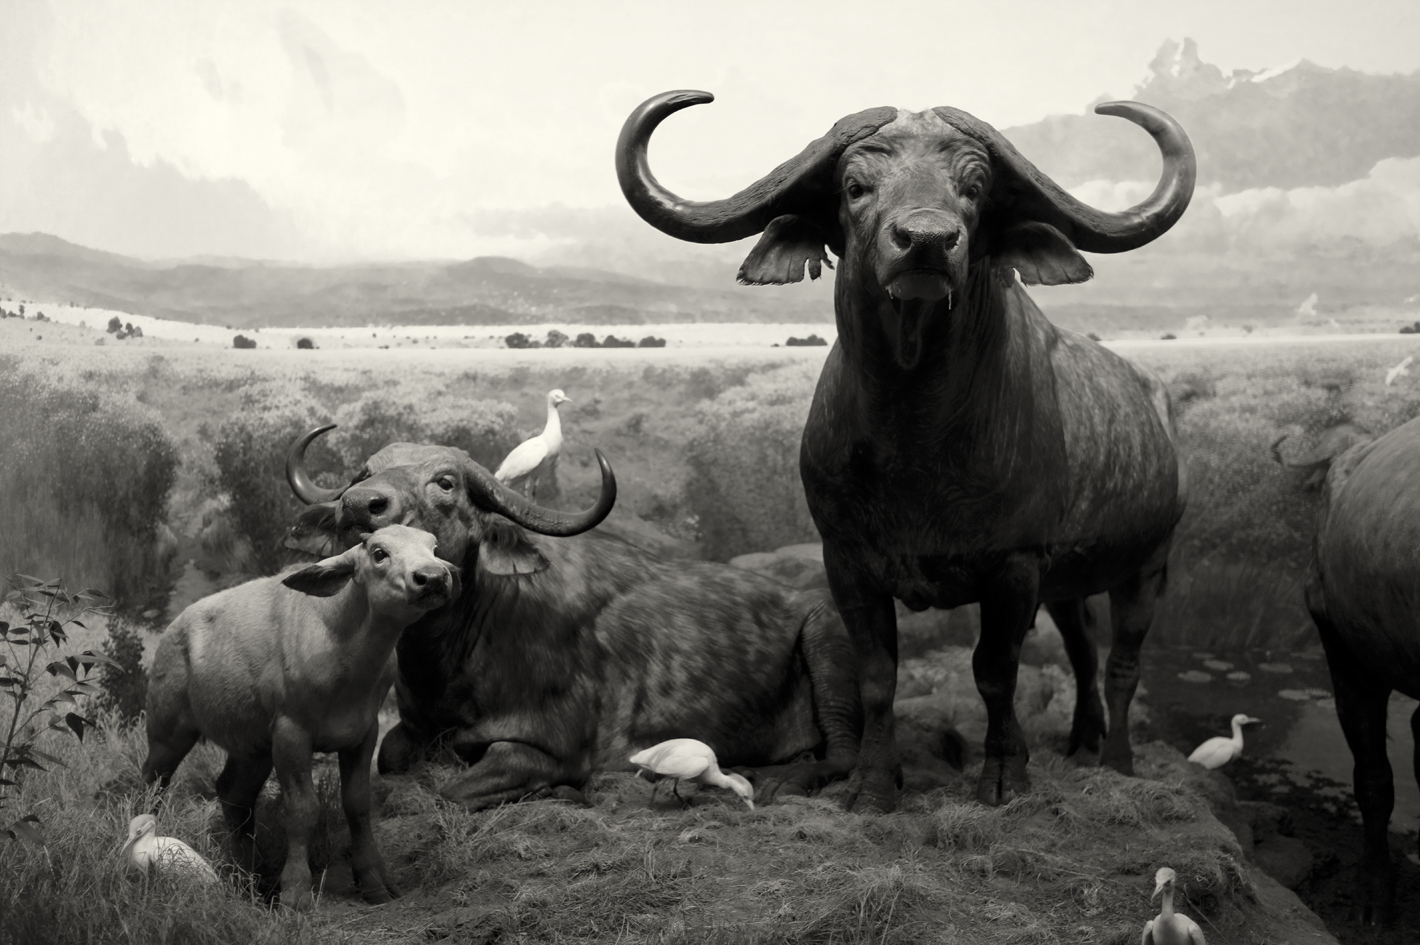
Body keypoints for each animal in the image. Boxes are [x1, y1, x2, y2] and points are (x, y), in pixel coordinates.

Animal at [283, 428, 861, 810]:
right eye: (363, 472)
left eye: (444, 483)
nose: (360, 505)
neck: (450, 658)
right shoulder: (414, 730)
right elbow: (392, 756)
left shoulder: (547, 748)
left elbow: (452, 789)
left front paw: (561, 791)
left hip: (827, 641)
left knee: (844, 753)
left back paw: (784, 780)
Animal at [617, 92, 1194, 811]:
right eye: (854, 186)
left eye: (974, 186)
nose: (925, 241)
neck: (915, 438)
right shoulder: (847, 560)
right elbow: (876, 674)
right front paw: (872, 783)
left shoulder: (1014, 566)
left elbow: (995, 672)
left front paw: (1004, 774)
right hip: (1069, 582)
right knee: (1085, 652)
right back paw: (1081, 742)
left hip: (1148, 564)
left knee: (1122, 662)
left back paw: (1116, 759)